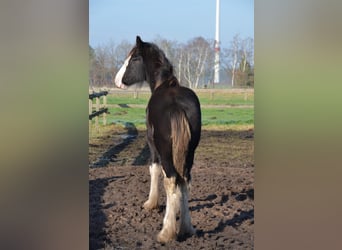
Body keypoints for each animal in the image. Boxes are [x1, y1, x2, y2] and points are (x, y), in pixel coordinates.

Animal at [115, 36, 200, 242]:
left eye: (134, 58)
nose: (117, 81)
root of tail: (176, 105)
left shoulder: (151, 143)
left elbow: (153, 169)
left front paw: (151, 203)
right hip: (189, 153)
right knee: (184, 180)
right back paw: (186, 228)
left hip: (165, 151)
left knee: (171, 180)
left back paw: (166, 232)